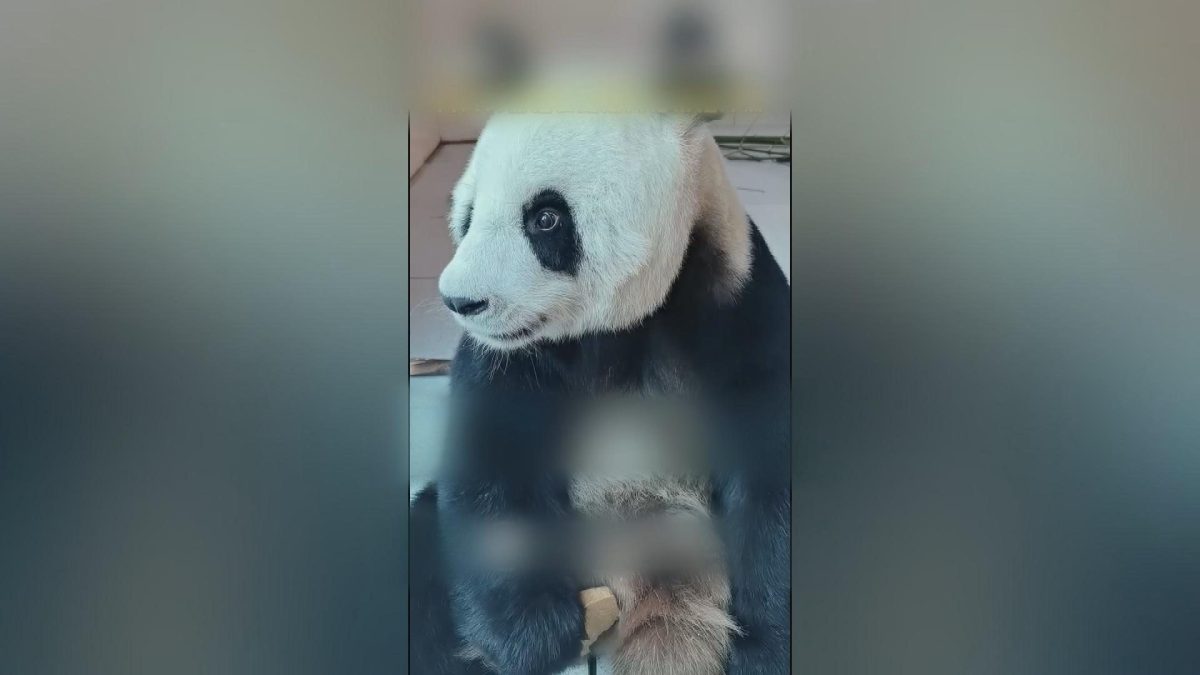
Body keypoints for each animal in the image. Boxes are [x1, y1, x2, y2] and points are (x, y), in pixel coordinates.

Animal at [410, 113, 790, 675]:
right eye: (469, 214)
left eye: (545, 218)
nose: (461, 301)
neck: (627, 325)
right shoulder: (512, 351)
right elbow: (493, 455)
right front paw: (537, 634)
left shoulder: (738, 302)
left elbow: (771, 464)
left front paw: (764, 650)